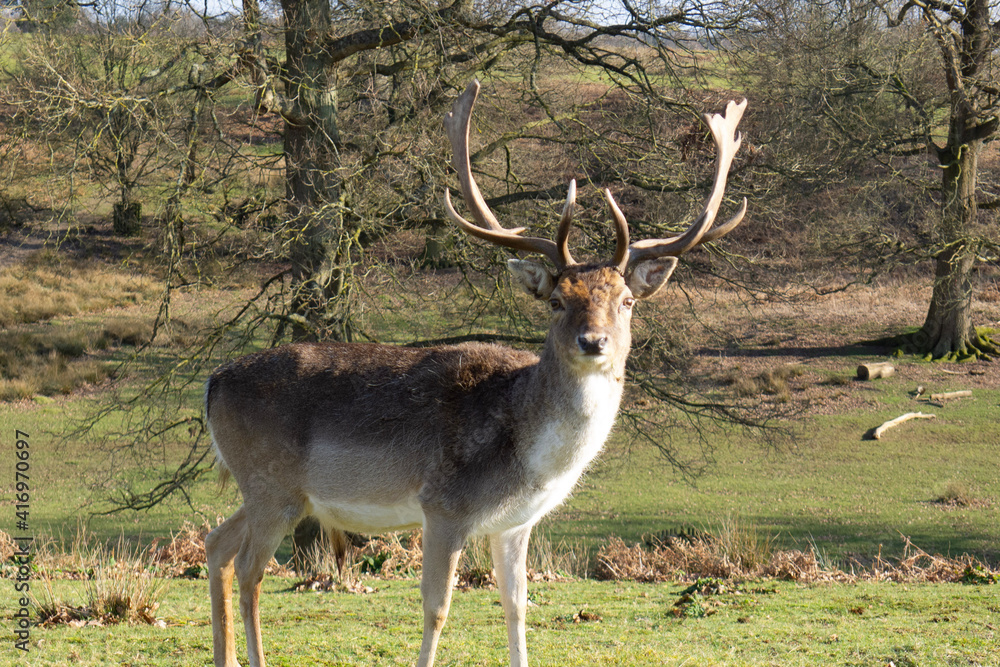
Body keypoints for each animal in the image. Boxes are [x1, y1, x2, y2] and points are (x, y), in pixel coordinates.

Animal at [204, 80, 747, 667]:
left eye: (626, 300)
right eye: (556, 300)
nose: (593, 342)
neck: (528, 458)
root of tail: (211, 384)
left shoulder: (516, 523)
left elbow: (517, 607)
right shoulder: (444, 506)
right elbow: (437, 607)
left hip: (268, 490)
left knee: (216, 545)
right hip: (272, 484)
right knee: (251, 571)